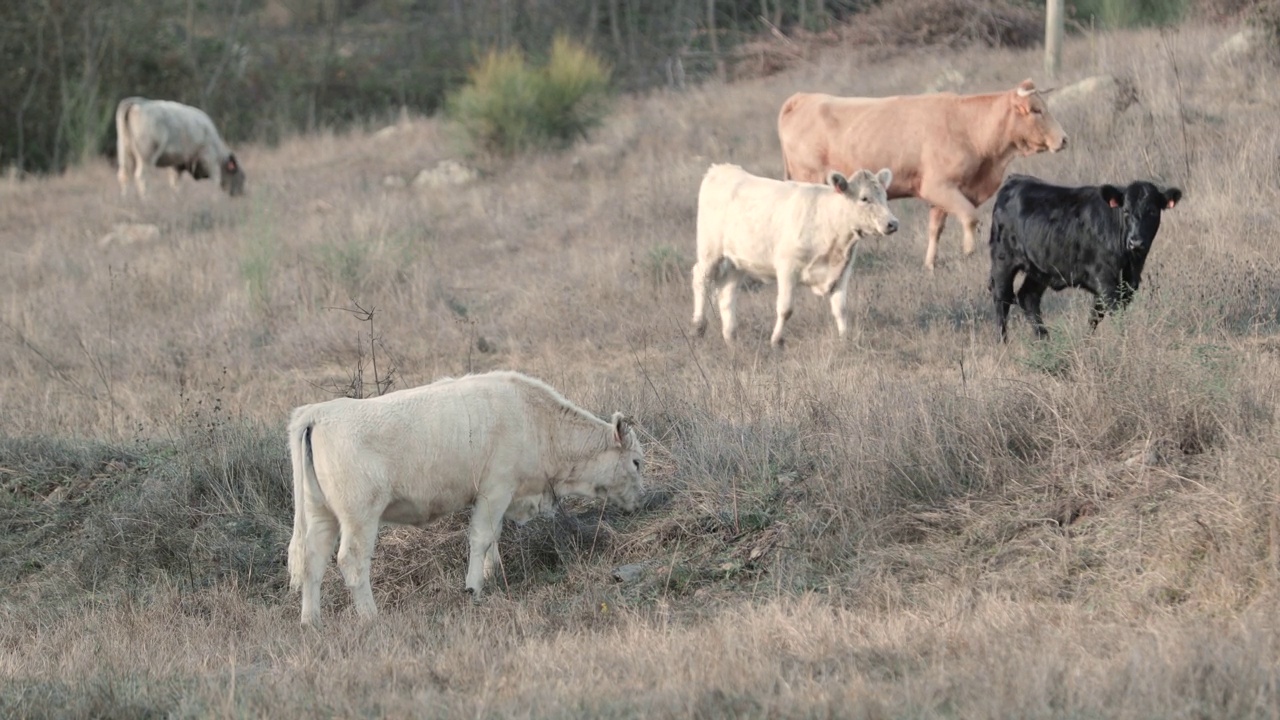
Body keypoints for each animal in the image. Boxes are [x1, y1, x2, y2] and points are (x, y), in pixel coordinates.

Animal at [116, 95, 245, 197]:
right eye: (241, 176)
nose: (241, 194)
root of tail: (138, 102)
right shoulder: (209, 160)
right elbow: (216, 180)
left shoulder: (176, 165)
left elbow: (175, 183)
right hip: (146, 156)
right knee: (141, 176)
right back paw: (146, 199)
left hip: (125, 153)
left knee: (124, 175)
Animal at [286, 368, 645, 622]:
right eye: (637, 462)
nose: (640, 501)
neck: (535, 420)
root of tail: (318, 413)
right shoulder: (495, 490)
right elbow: (481, 537)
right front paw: (474, 586)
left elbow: (494, 537)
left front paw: (491, 574)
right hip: (359, 516)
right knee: (351, 560)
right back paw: (371, 617)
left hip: (321, 514)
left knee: (312, 560)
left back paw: (311, 622)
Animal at [691, 162, 901, 345]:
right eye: (864, 198)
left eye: (884, 196)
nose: (892, 223)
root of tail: (721, 168)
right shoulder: (787, 267)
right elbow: (786, 309)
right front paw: (776, 341)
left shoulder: (843, 271)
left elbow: (840, 309)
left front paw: (844, 339)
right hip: (709, 251)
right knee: (700, 279)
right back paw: (698, 327)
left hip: (737, 261)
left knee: (727, 293)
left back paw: (731, 338)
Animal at [778, 79, 1070, 269]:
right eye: (1036, 110)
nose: (1064, 139)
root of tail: (801, 98)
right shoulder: (940, 187)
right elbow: (970, 216)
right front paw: (968, 251)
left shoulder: (940, 196)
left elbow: (935, 229)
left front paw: (930, 264)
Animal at [988, 174, 1177, 340]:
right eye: (1126, 211)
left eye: (1152, 211)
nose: (1135, 241)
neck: (1131, 261)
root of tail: (1014, 179)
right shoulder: (1105, 280)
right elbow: (1114, 314)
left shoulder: (1127, 284)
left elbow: (1095, 316)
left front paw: (1087, 342)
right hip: (1003, 260)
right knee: (1002, 298)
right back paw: (1002, 342)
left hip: (1040, 269)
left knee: (1028, 297)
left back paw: (1045, 340)